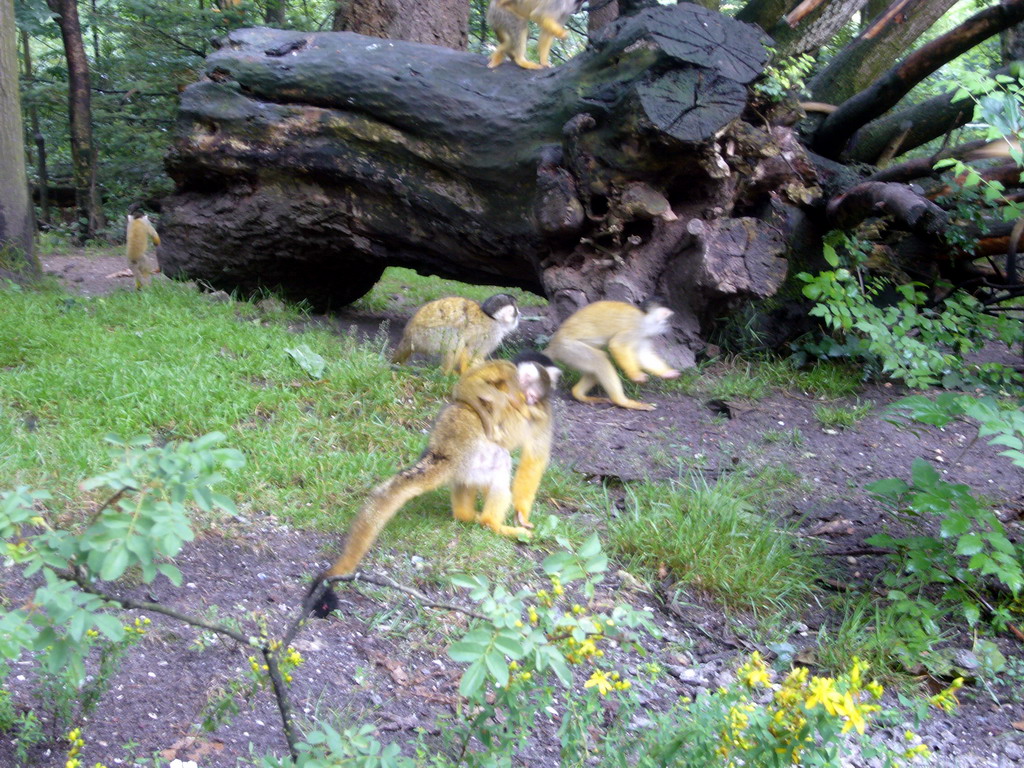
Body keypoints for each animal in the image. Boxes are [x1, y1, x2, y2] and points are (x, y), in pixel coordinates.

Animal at [309, 352, 561, 618]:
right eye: (535, 393)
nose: (531, 401)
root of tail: (443, 450)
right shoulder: (541, 411)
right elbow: (534, 461)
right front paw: (522, 515)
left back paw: (466, 515)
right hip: (477, 453)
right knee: (501, 460)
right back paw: (491, 523)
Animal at [389, 294, 520, 376]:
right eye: (515, 311)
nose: (519, 313)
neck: (493, 319)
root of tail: (408, 335)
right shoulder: (492, 333)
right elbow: (470, 353)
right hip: (426, 335)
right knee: (455, 335)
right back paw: (447, 374)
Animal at [544, 296, 679, 411]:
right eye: (668, 321)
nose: (669, 327)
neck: (645, 319)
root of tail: (554, 344)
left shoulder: (644, 335)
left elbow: (643, 356)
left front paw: (667, 373)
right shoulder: (636, 327)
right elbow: (617, 345)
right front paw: (636, 375)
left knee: (595, 366)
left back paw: (579, 394)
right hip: (568, 348)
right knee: (600, 359)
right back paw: (622, 401)